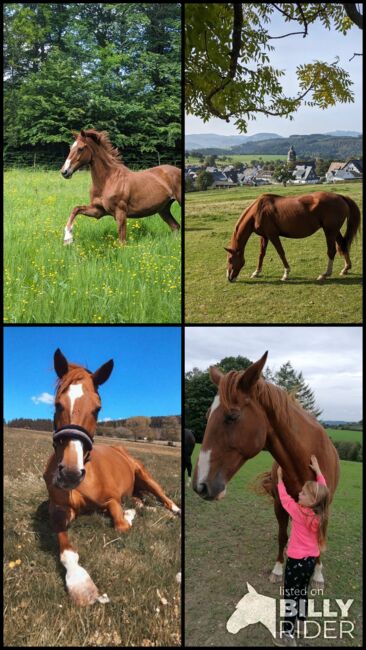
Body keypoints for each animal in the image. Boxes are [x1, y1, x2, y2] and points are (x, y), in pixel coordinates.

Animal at [43, 346, 181, 604]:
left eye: (98, 409)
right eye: (57, 405)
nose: (70, 473)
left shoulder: (112, 499)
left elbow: (121, 523)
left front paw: (127, 516)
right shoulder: (59, 510)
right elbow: (65, 547)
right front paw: (79, 582)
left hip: (144, 474)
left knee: (163, 497)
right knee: (143, 500)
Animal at [193, 352, 338, 584]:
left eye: (232, 416)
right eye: (207, 415)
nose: (200, 485)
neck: (303, 458)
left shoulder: (324, 506)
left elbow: (318, 537)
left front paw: (317, 573)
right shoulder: (280, 504)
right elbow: (282, 535)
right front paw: (278, 568)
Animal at [226, 191, 360, 280]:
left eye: (230, 259)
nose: (229, 278)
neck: (258, 211)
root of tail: (340, 196)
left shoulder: (273, 235)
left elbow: (281, 253)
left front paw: (286, 273)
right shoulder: (264, 236)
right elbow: (261, 254)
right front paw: (256, 272)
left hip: (329, 231)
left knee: (332, 251)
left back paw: (325, 274)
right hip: (334, 230)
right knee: (343, 245)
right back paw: (345, 268)